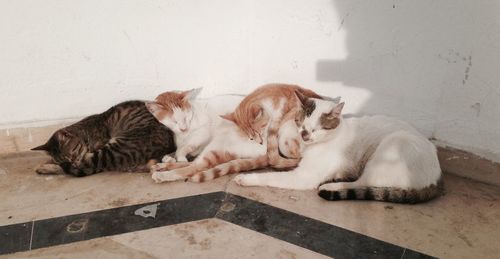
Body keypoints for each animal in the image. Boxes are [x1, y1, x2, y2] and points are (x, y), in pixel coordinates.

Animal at [234, 92, 442, 204]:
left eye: (316, 129)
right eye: (301, 123)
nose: (304, 135)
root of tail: (437, 177)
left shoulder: (303, 176)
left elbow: (269, 176)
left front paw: (246, 178)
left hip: (389, 148)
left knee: (362, 183)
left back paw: (331, 185)